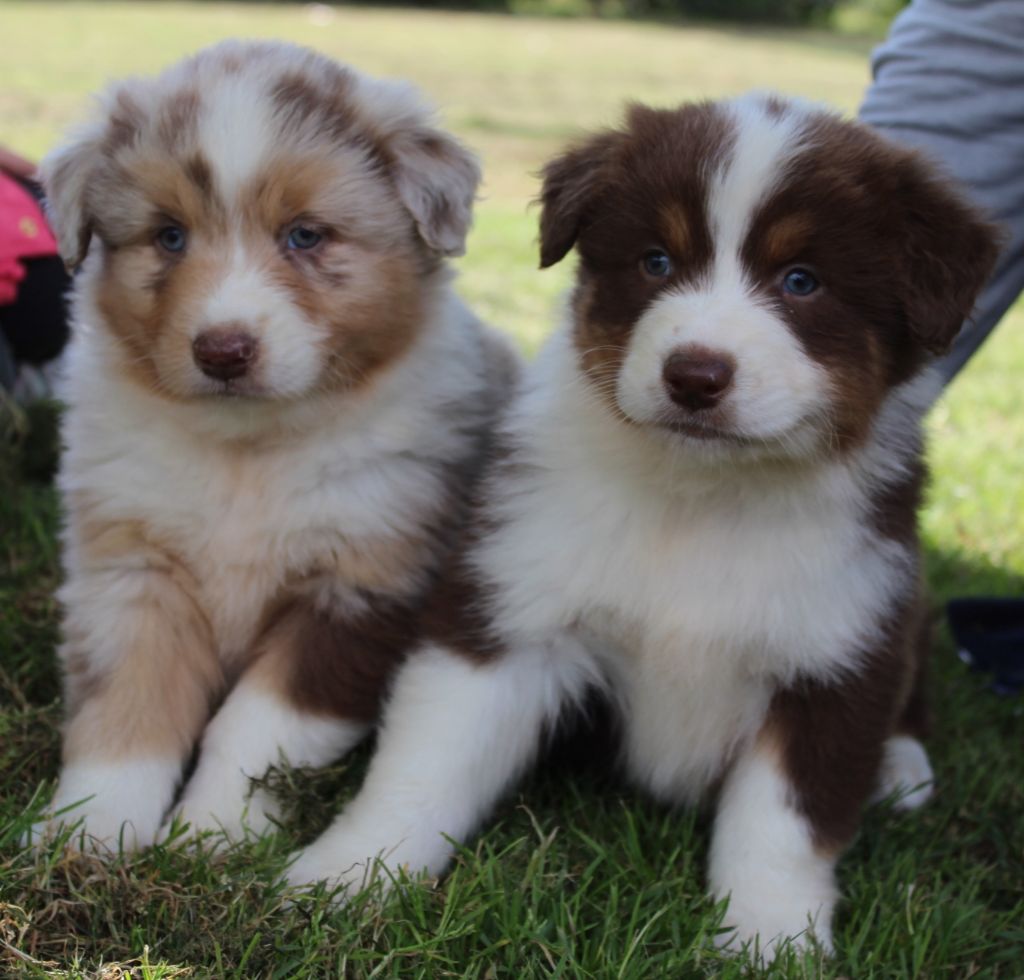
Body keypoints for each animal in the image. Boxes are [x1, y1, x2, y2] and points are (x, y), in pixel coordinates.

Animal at [36, 40, 516, 847]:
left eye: (305, 235)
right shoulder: (131, 571)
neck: (248, 451)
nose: (223, 351)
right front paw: (90, 832)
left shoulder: (356, 587)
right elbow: (127, 708)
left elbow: (254, 730)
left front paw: (210, 834)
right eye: (169, 235)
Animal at [286, 97, 999, 954]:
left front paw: (771, 940)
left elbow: (784, 826)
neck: (702, 495)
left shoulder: (836, 651)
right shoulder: (512, 606)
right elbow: (428, 756)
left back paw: (901, 767)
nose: (695, 375)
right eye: (656, 262)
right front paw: (353, 871)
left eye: (802, 281)